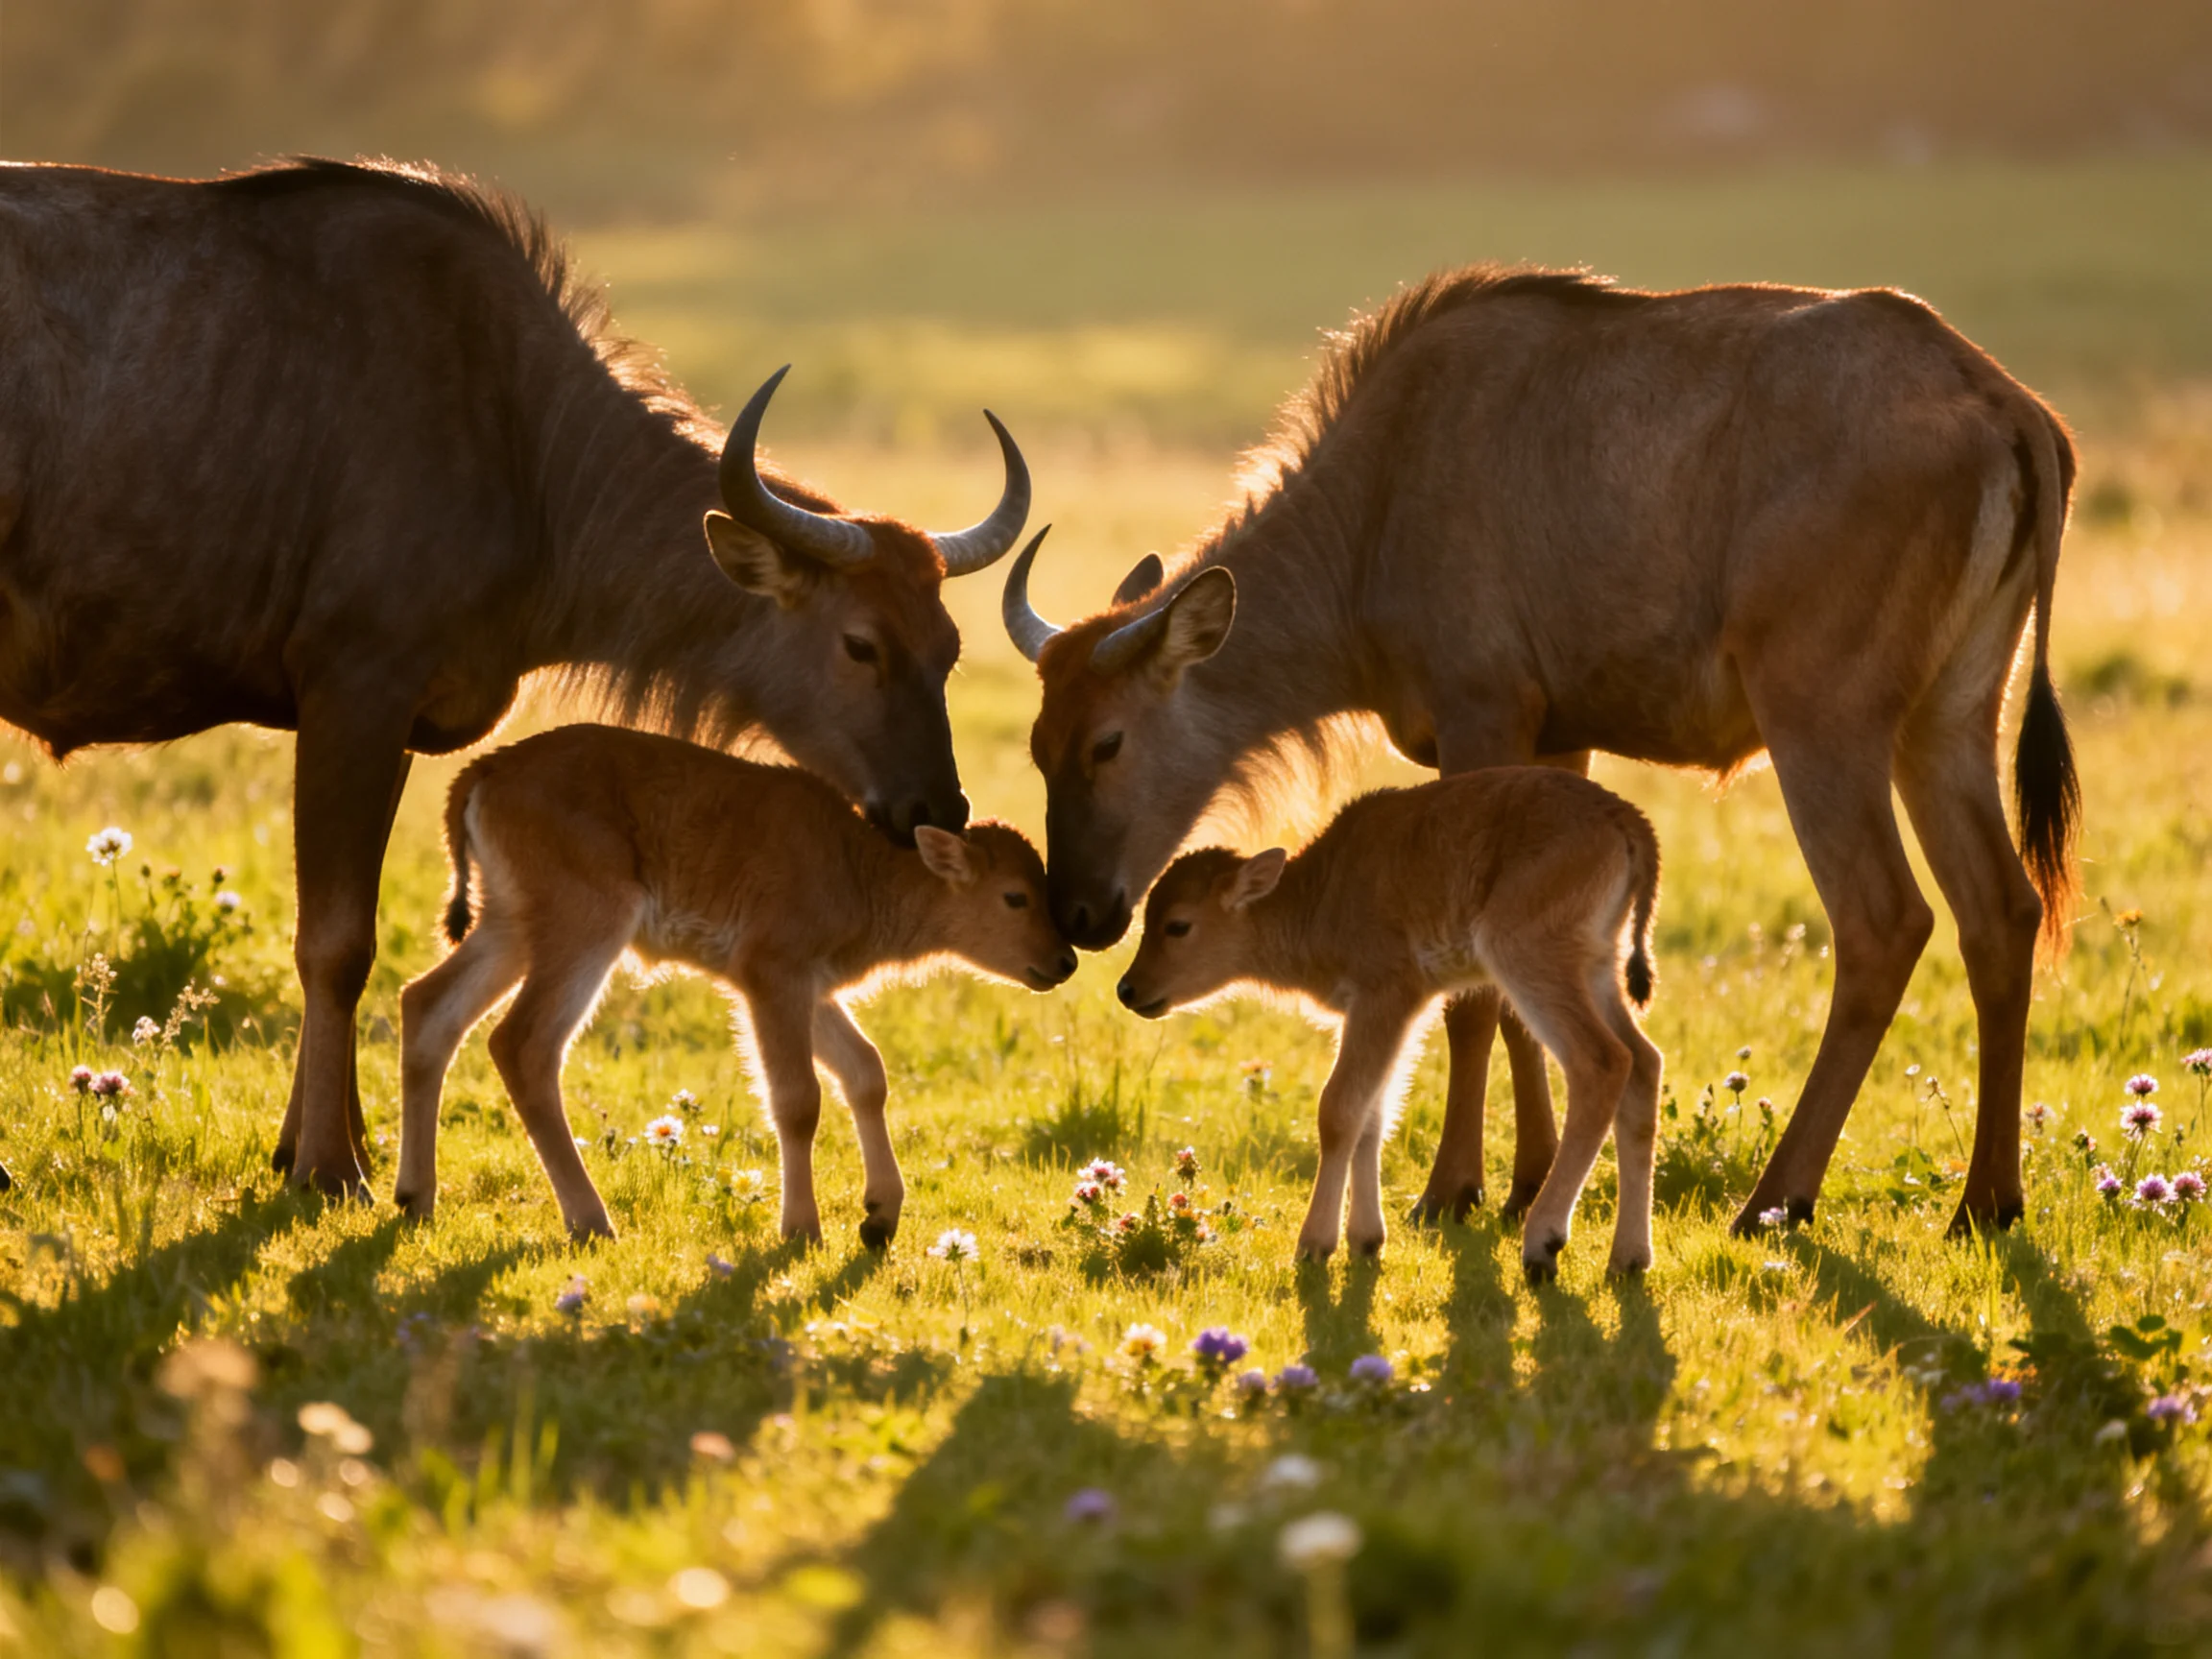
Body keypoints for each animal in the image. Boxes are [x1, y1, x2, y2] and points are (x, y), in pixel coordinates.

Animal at [0, 157, 1031, 1198]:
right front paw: (333, 1166)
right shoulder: (354, 695)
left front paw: (322, 1148)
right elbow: (337, 944)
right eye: (860, 643)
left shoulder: (395, 725)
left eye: (949, 643)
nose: (935, 809)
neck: (520, 447)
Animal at [1005, 265, 2078, 1237]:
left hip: (1824, 725)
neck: (1377, 506)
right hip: (1949, 721)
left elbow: (1475, 998)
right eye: (1036, 746)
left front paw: (1452, 1189)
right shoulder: (1561, 746)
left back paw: (1777, 1200)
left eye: (1107, 741)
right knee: (2001, 913)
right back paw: (1986, 1202)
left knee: (1884, 924)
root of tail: (2007, 408)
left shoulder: (1482, 720)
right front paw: (1528, 1180)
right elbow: (1530, 997)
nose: (1083, 914)